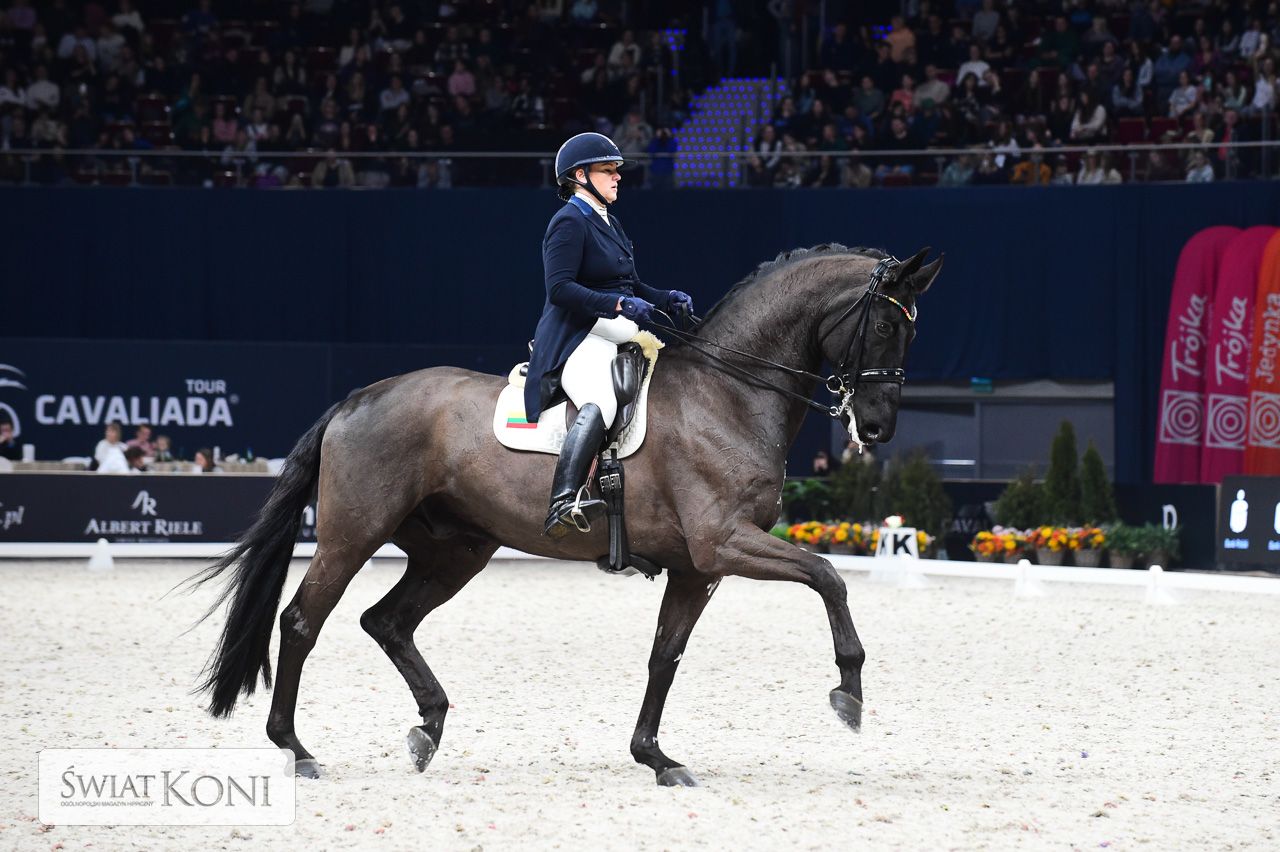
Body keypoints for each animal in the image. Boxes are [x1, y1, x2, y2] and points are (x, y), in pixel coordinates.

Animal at [191, 243, 943, 786]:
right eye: (882, 325)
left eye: (913, 333)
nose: (877, 427)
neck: (728, 394)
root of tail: (356, 399)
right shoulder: (726, 543)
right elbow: (828, 577)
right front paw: (849, 691)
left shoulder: (697, 568)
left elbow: (665, 655)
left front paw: (655, 757)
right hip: (352, 537)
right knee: (302, 622)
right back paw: (297, 749)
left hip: (455, 551)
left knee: (387, 621)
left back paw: (429, 727)